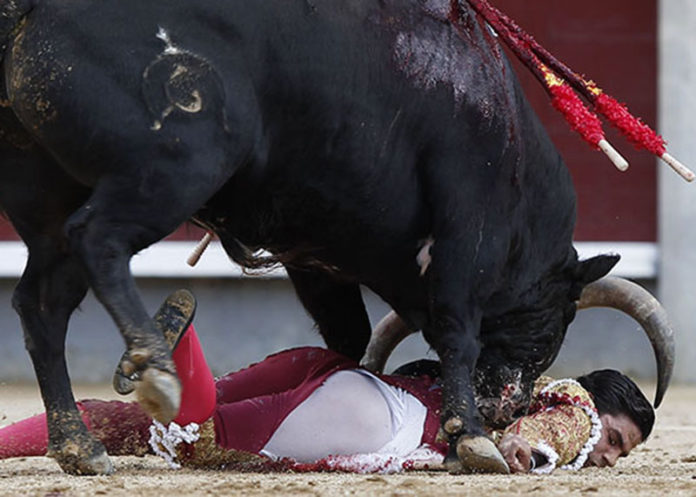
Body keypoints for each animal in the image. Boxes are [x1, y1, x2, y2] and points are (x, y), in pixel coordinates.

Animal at [0, 0, 660, 474]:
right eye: (557, 320)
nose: (512, 408)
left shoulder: (315, 257)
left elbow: (350, 337)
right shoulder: (465, 229)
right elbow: (457, 331)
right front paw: (471, 437)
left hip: (52, 201)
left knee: (42, 304)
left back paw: (80, 443)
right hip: (175, 164)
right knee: (98, 240)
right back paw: (155, 364)